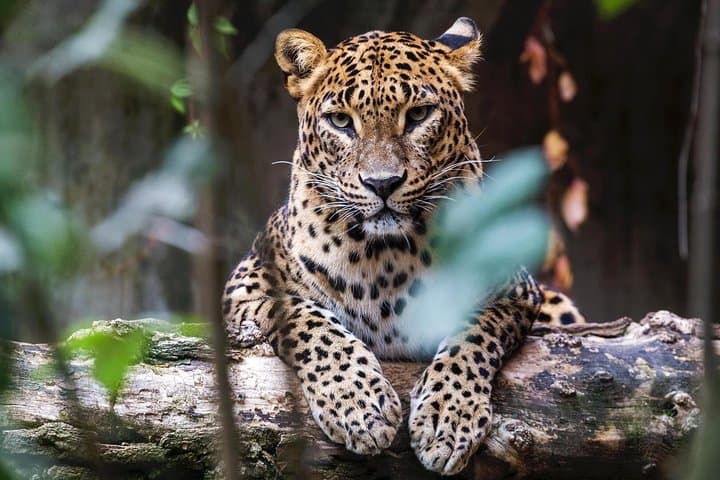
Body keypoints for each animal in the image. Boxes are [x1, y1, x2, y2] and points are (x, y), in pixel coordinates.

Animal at [223, 17, 585, 475]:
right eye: (340, 121)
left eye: (417, 115)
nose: (382, 183)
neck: (385, 256)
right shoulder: (246, 285)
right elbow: (309, 321)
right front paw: (359, 406)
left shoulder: (515, 291)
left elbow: (472, 334)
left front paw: (448, 419)